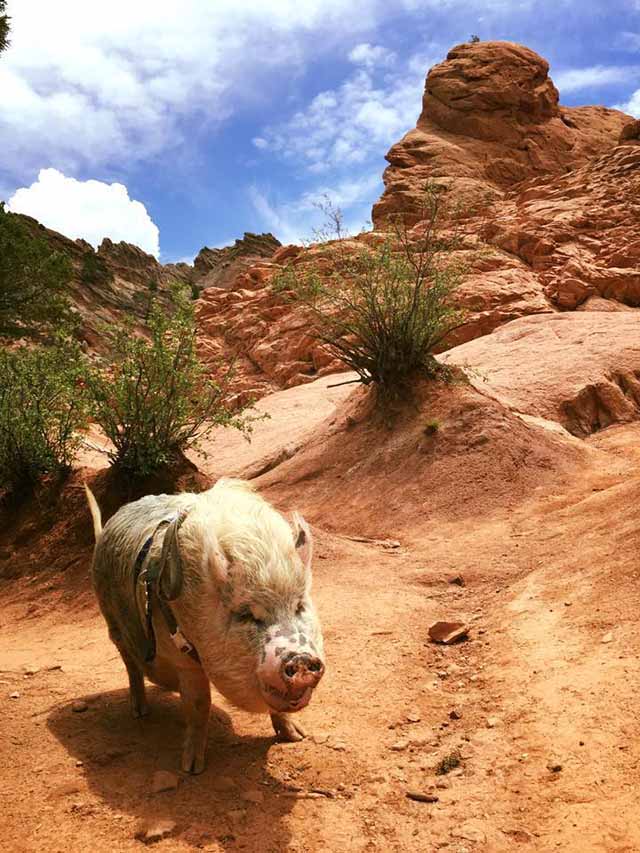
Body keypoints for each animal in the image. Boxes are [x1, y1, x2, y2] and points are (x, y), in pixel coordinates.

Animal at [85, 478, 325, 773]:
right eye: (246, 615)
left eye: (299, 606)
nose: (301, 659)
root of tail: (105, 530)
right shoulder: (182, 656)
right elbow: (199, 705)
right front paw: (191, 769)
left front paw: (297, 737)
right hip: (112, 625)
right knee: (131, 667)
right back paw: (140, 712)